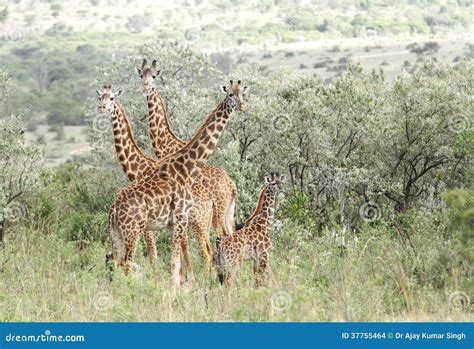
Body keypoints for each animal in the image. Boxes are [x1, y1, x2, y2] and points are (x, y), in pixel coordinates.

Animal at [97, 85, 210, 274]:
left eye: (112, 98)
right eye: (100, 98)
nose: (102, 108)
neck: (138, 168)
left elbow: (153, 251)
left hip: (198, 221)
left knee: (206, 251)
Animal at [138, 59, 241, 239]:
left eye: (154, 75)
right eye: (141, 74)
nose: (146, 86)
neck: (165, 142)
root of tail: (231, 184)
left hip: (219, 210)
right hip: (227, 210)